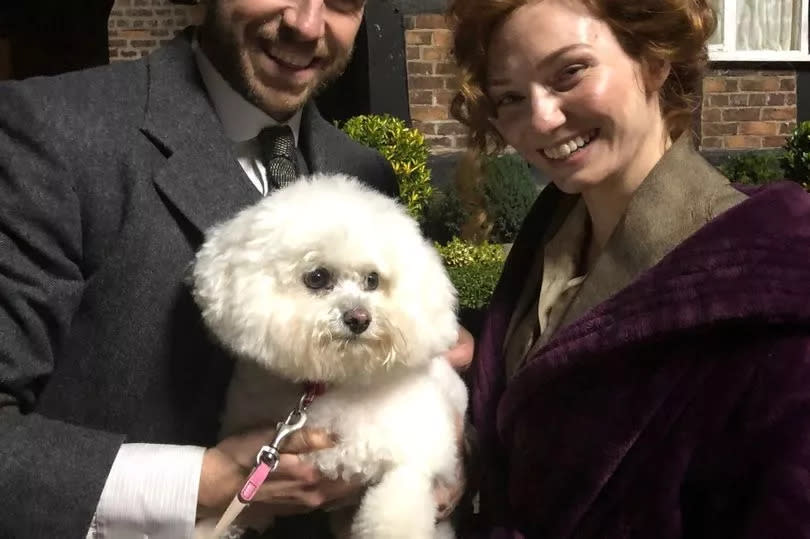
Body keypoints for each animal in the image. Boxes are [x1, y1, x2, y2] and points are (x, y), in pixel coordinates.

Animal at [191, 174, 468, 539]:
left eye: (372, 280)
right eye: (318, 277)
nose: (359, 318)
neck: (328, 386)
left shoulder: (419, 455)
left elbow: (395, 505)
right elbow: (233, 511)